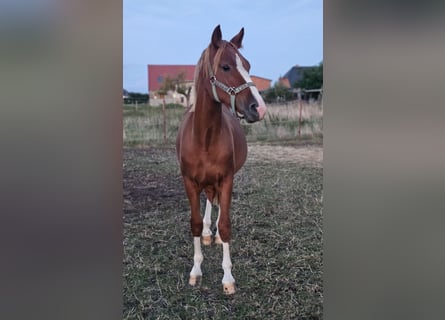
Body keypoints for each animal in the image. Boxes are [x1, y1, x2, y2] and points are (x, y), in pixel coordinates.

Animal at [175, 25, 266, 296]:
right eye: (225, 67)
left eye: (247, 64)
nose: (259, 108)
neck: (204, 137)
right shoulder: (189, 182)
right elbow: (194, 223)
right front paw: (196, 271)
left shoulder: (226, 179)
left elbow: (225, 226)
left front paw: (227, 277)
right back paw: (207, 232)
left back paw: (212, 234)